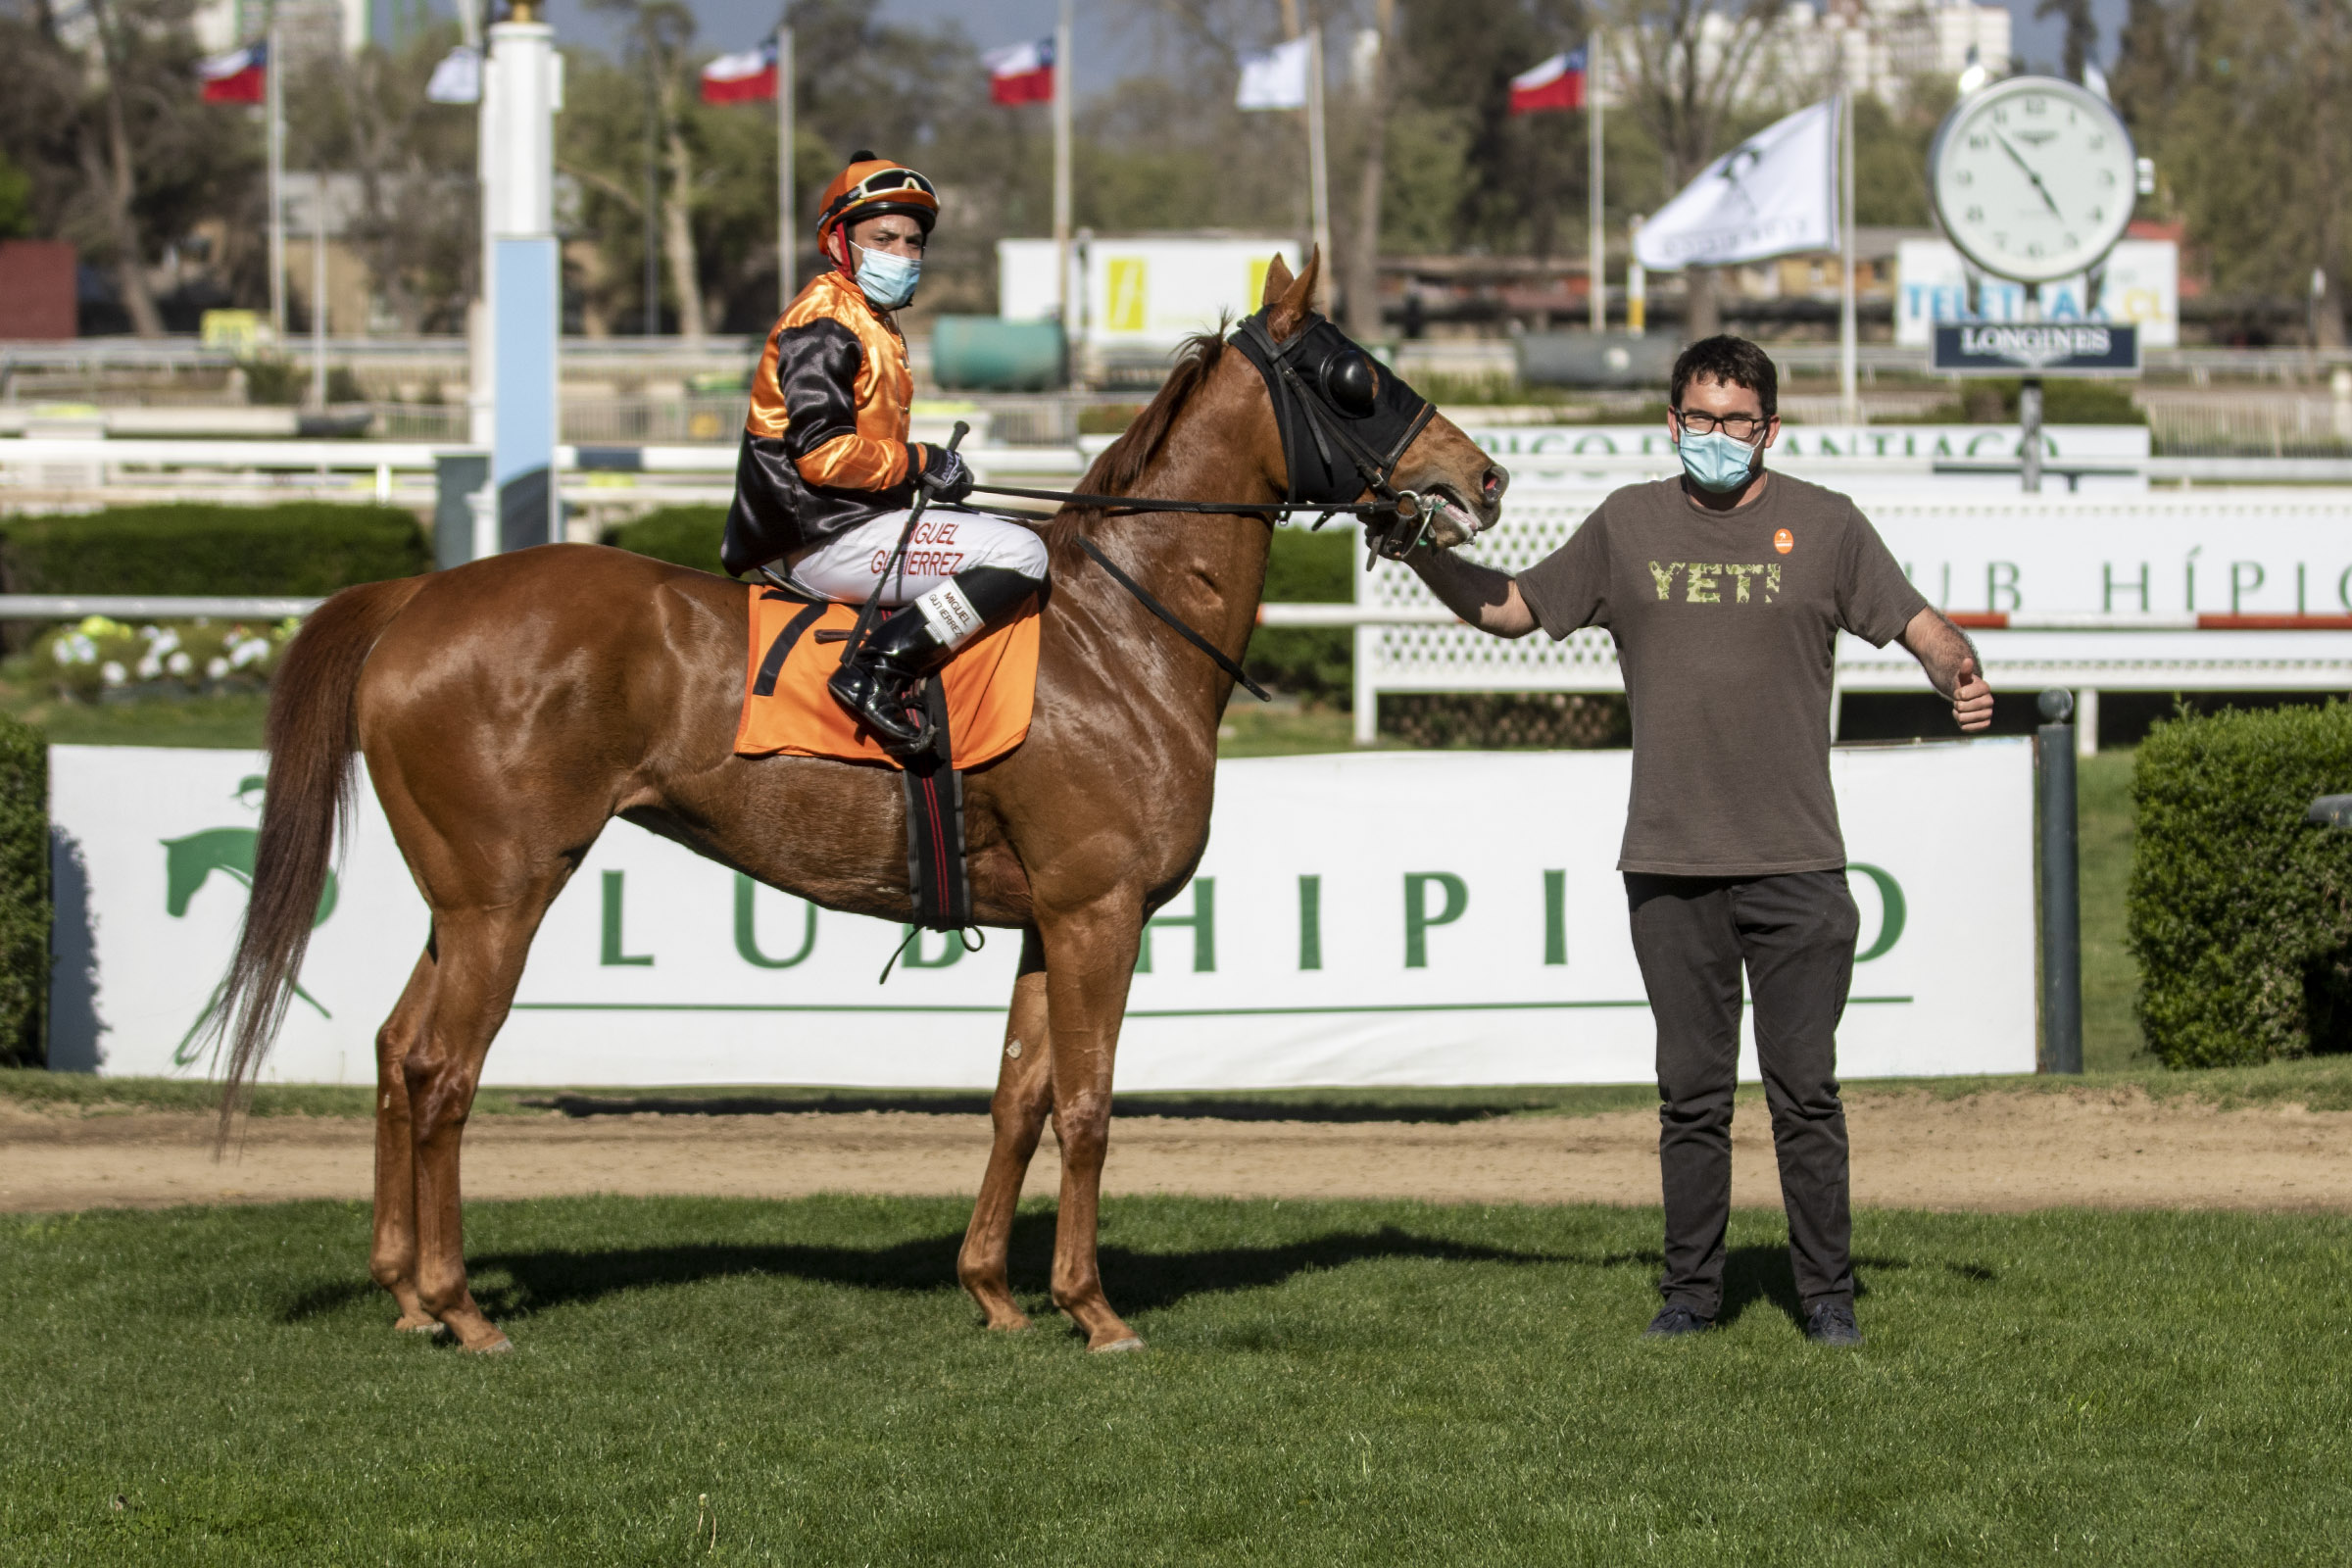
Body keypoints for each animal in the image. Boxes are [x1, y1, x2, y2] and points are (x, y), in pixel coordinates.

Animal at [208, 251, 1509, 1353]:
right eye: (1358, 376)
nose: (1483, 477)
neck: (1120, 634)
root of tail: (417, 596)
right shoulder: (1101, 911)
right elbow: (1087, 1104)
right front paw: (1094, 1310)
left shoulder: (1048, 920)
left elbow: (1018, 1097)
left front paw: (996, 1292)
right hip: (505, 899)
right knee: (443, 1070)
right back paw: (459, 1305)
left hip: (464, 898)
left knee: (393, 1052)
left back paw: (403, 1291)